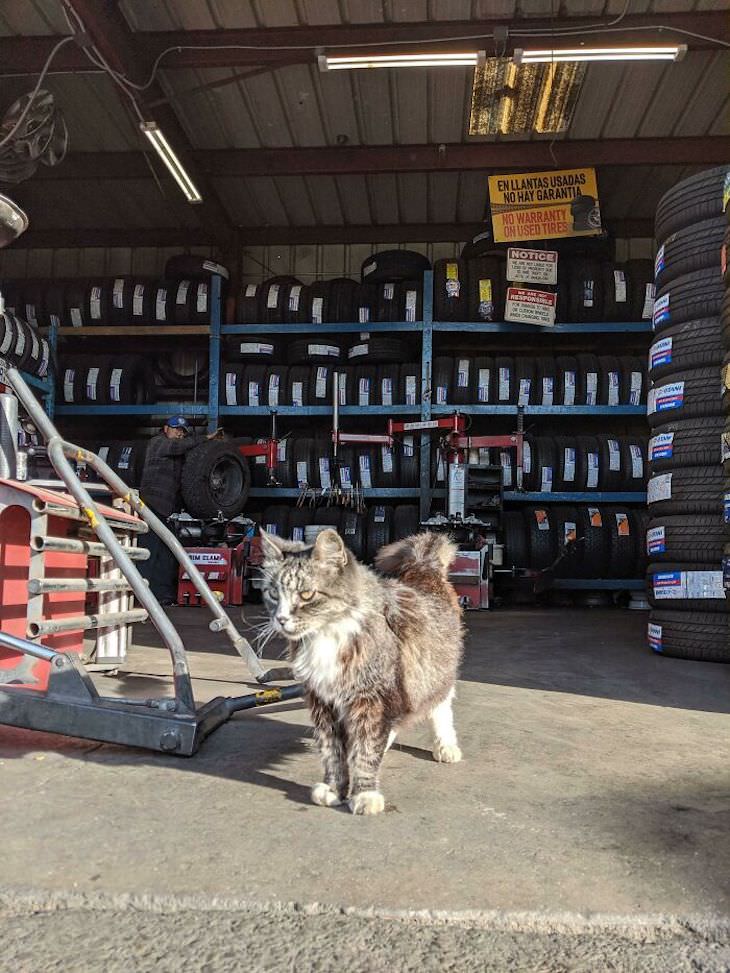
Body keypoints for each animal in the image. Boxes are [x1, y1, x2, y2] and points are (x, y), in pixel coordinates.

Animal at [258, 524, 460, 812]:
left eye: (306, 594)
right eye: (273, 594)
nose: (281, 619)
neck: (327, 635)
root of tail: (423, 567)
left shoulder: (373, 698)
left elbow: (366, 749)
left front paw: (365, 794)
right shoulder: (322, 703)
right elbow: (332, 753)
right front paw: (333, 789)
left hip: (434, 672)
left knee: (440, 706)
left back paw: (445, 745)